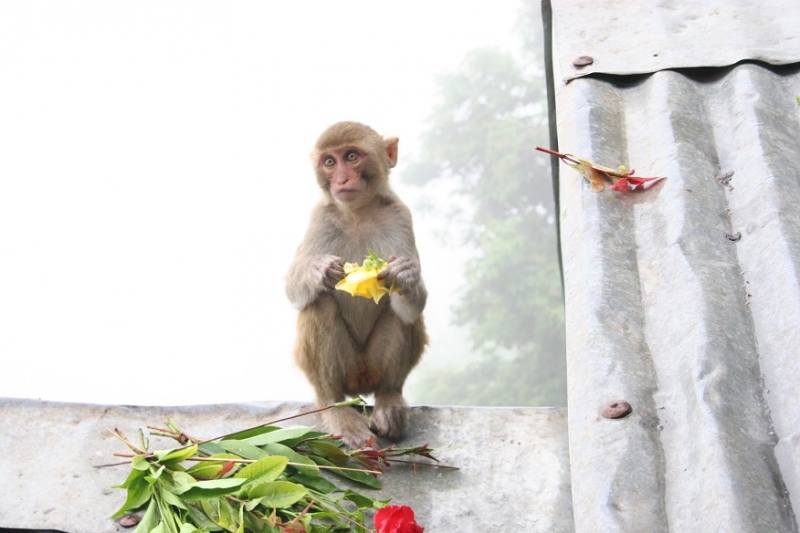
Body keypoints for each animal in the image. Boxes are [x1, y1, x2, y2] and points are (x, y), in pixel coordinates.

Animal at [284, 121, 428, 448]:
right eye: (329, 161)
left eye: (351, 156)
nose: (341, 178)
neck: (358, 213)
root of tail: (360, 379)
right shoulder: (321, 217)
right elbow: (293, 289)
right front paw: (321, 270)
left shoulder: (400, 216)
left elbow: (414, 301)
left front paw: (405, 274)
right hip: (345, 369)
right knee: (319, 303)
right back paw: (335, 406)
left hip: (372, 366)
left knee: (405, 315)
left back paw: (389, 396)